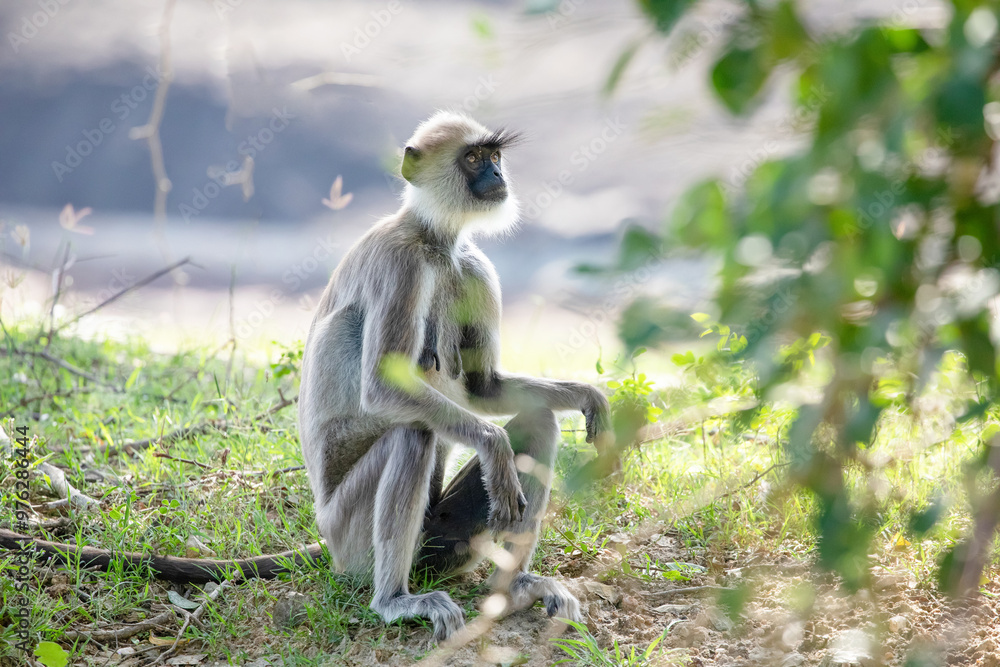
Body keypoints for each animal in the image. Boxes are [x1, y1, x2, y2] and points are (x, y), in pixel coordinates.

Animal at [297, 110, 612, 642]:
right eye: (473, 158)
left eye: (495, 156)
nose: (499, 175)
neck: (434, 242)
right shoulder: (399, 262)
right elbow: (385, 390)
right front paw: (493, 444)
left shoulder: (475, 268)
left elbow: (484, 389)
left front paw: (584, 394)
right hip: (350, 536)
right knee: (413, 435)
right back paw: (393, 600)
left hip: (442, 543)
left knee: (539, 420)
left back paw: (515, 587)